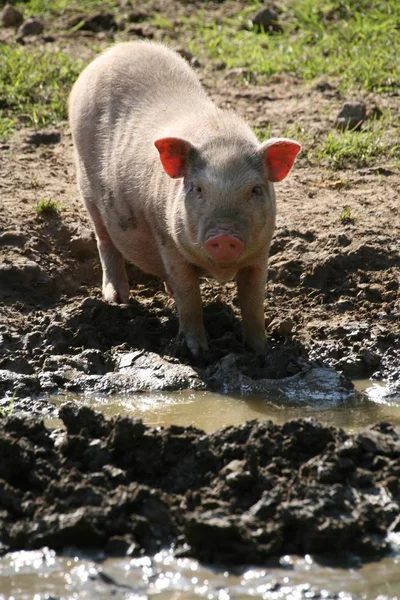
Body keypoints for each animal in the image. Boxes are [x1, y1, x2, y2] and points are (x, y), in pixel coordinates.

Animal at [69, 42, 300, 356]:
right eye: (197, 188)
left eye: (255, 190)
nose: (224, 235)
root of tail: (114, 50)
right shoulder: (169, 241)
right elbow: (190, 298)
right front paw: (198, 352)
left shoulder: (260, 252)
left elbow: (253, 301)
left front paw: (261, 351)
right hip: (87, 188)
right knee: (105, 240)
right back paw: (117, 299)